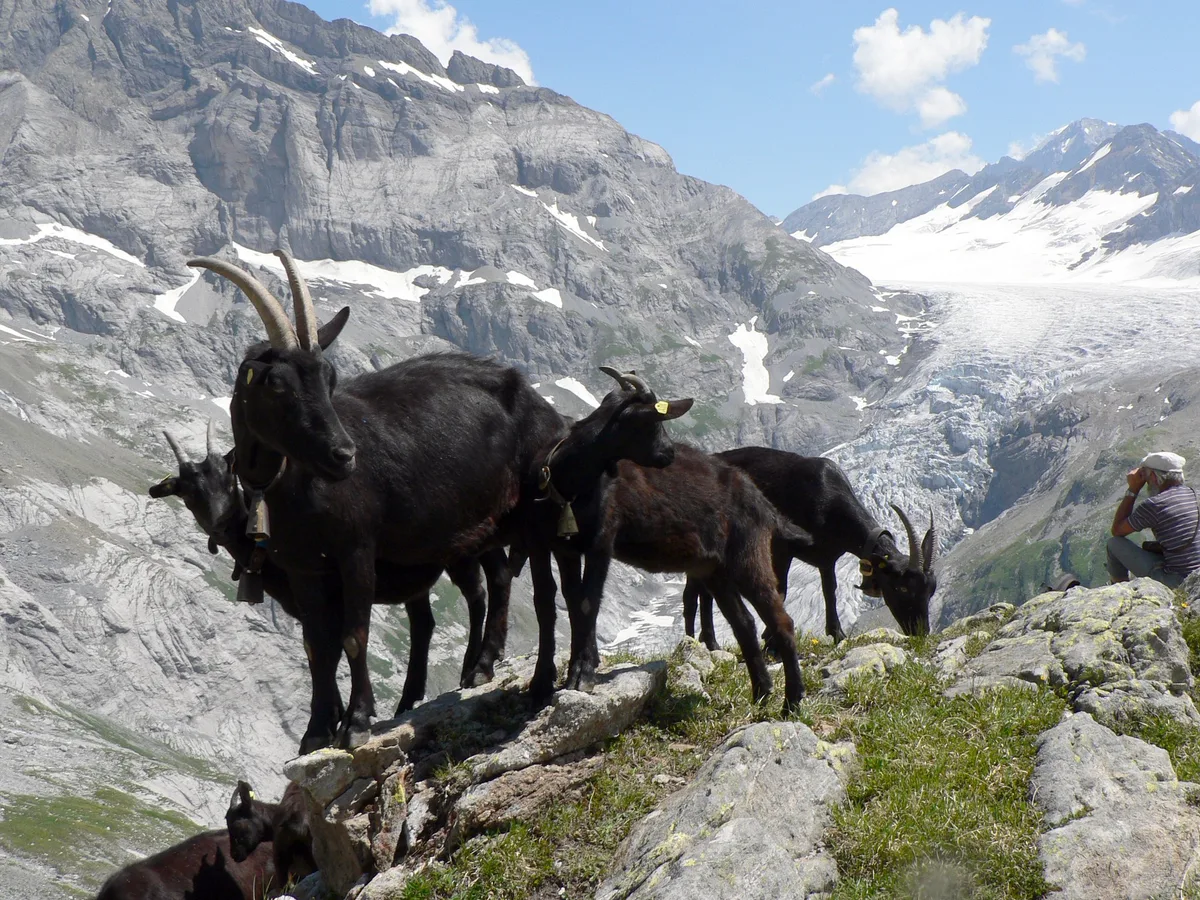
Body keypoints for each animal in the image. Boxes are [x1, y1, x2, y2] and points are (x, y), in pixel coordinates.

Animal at [148, 429, 512, 718]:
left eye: (229, 480)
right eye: (187, 492)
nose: (221, 525)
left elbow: (331, 649)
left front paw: (334, 717)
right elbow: (319, 651)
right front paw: (332, 716)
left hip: (466, 544)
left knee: (484, 588)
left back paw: (475, 667)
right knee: (430, 619)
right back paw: (411, 698)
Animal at [186, 251, 561, 750]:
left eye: (329, 378)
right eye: (277, 383)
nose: (344, 454)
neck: (288, 487)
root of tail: (538, 401)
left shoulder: (357, 551)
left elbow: (354, 636)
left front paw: (357, 722)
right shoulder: (306, 568)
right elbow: (317, 646)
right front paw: (315, 732)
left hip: (523, 513)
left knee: (517, 585)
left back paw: (489, 669)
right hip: (477, 528)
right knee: (498, 577)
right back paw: (479, 664)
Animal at [519, 369, 812, 711]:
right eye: (653, 423)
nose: (670, 453)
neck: (567, 484)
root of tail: (762, 503)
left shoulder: (600, 541)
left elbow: (588, 603)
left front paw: (581, 674)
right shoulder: (556, 546)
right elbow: (559, 603)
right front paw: (543, 683)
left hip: (748, 554)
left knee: (782, 621)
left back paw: (792, 700)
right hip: (715, 570)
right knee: (744, 624)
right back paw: (762, 693)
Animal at [682, 447, 937, 646]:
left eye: (930, 591)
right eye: (901, 587)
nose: (920, 632)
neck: (828, 500)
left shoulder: (827, 557)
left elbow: (830, 590)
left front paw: (837, 633)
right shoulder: (782, 548)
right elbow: (782, 589)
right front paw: (771, 641)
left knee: (703, 592)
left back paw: (707, 641)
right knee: (692, 594)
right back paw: (699, 642)